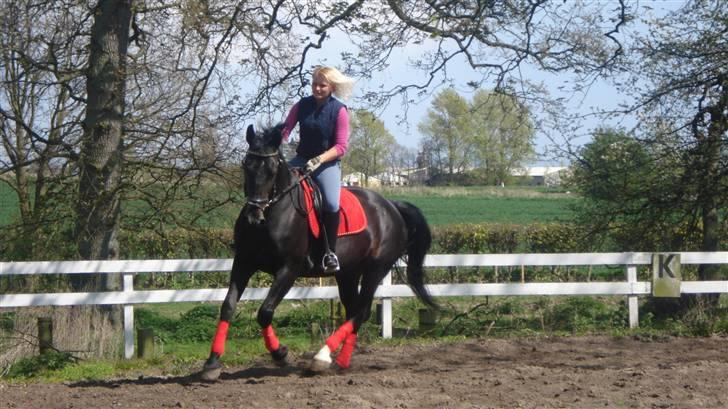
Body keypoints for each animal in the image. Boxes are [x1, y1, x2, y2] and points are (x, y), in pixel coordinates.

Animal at [199, 123, 436, 380]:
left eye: (272, 169)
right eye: (246, 164)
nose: (254, 216)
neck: (273, 213)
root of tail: (391, 206)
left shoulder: (289, 269)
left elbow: (265, 312)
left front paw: (280, 354)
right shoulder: (243, 262)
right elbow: (227, 307)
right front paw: (212, 363)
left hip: (376, 270)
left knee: (361, 311)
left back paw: (322, 358)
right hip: (348, 273)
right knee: (354, 310)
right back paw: (340, 360)